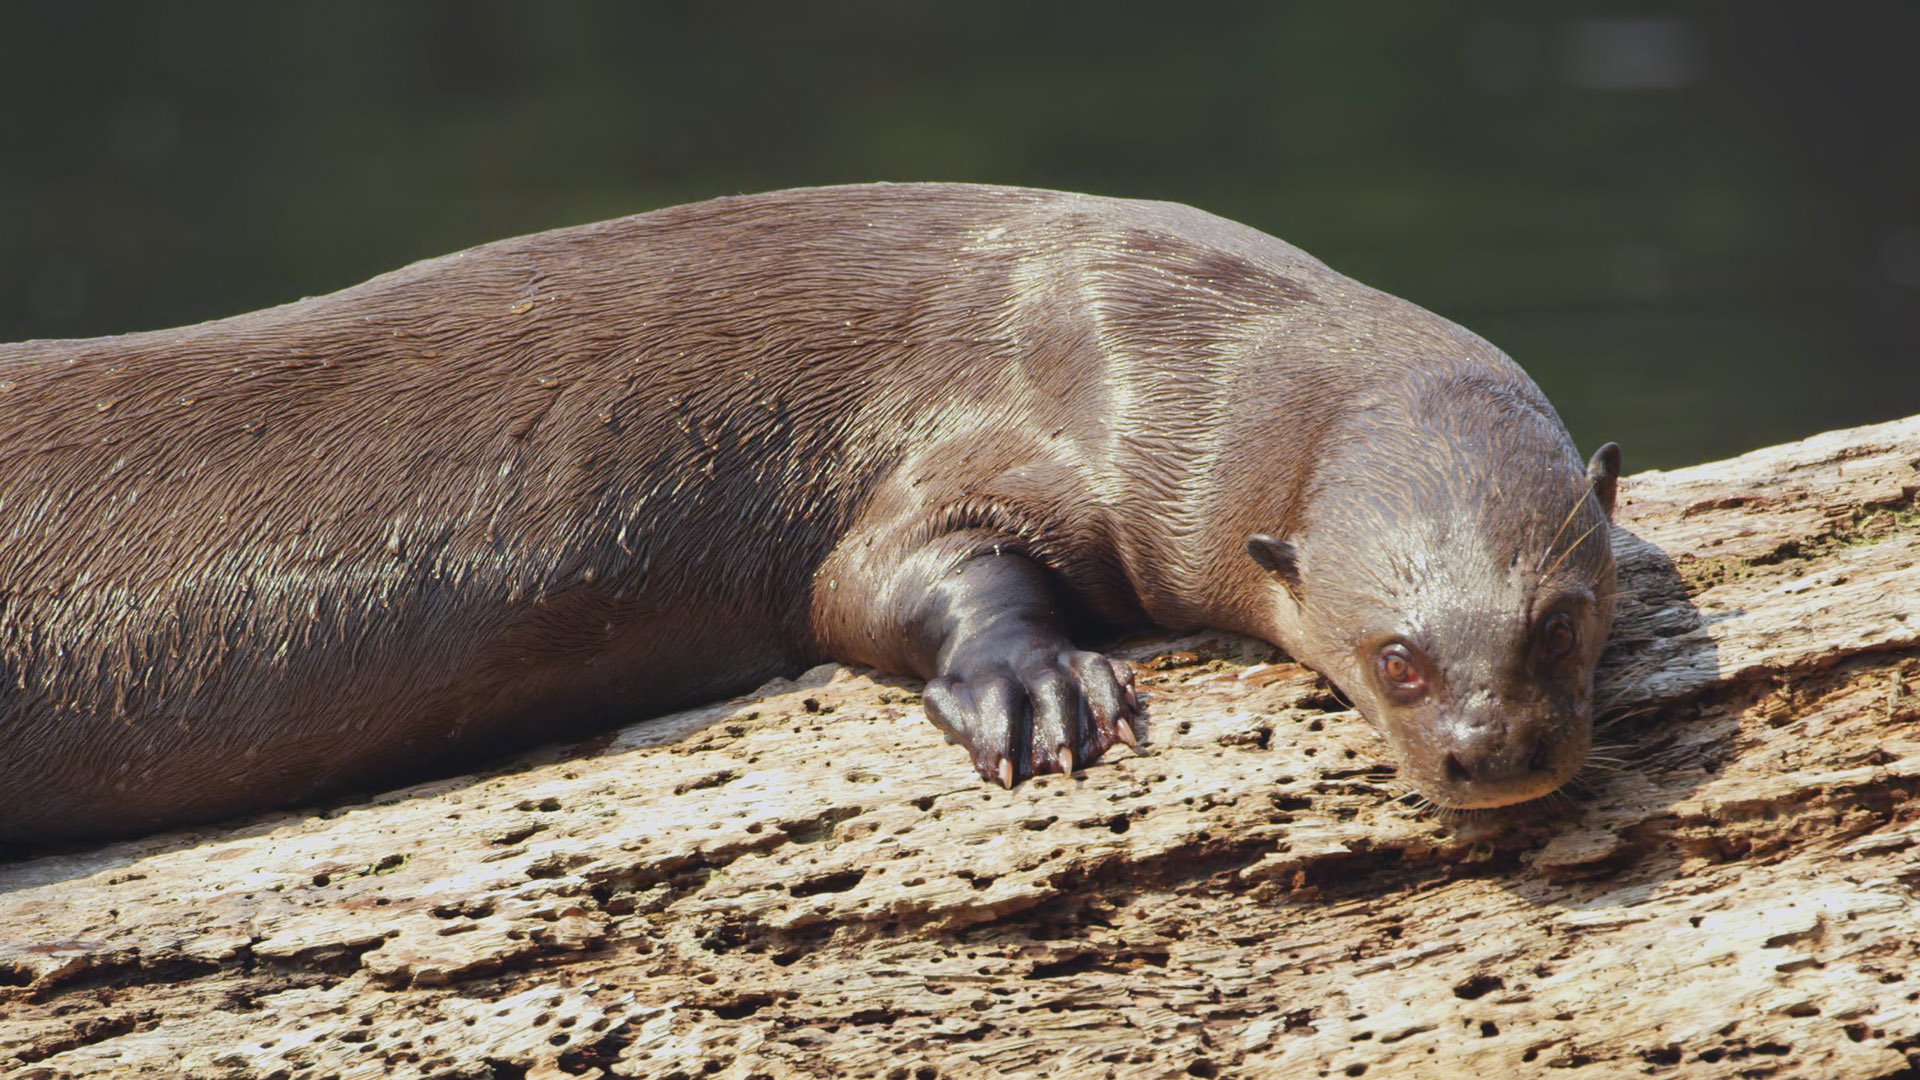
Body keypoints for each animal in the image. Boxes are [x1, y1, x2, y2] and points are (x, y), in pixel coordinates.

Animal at [0, 184, 1620, 841]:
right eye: (1394, 658)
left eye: (1562, 624)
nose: (1492, 751)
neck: (1180, 341)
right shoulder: (1032, 408)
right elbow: (871, 579)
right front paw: (1041, 690)